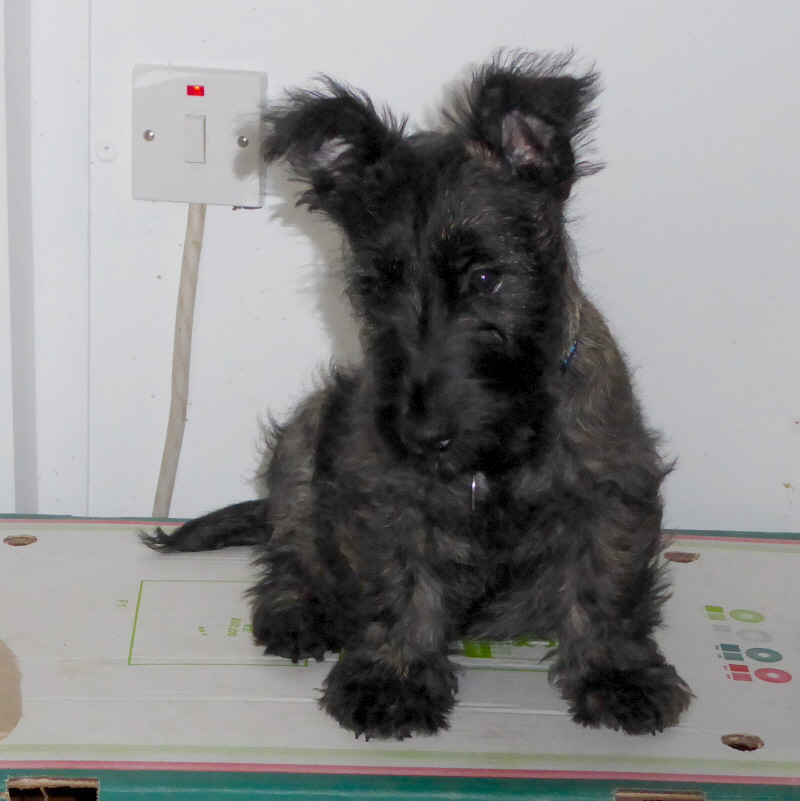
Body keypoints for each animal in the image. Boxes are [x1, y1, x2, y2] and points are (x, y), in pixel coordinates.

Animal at [143, 51, 692, 740]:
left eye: (486, 277)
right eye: (375, 287)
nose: (424, 435)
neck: (498, 453)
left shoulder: (611, 484)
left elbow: (606, 585)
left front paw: (617, 676)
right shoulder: (384, 491)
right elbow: (398, 585)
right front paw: (394, 678)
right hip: (306, 429)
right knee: (290, 549)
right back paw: (296, 613)